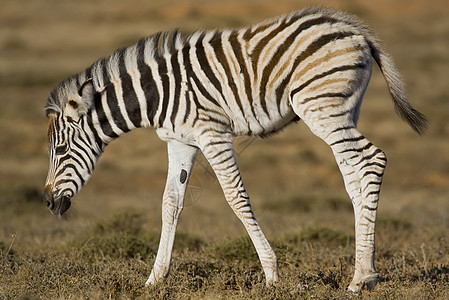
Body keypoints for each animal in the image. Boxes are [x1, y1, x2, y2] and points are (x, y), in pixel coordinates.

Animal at [43, 7, 426, 292]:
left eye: (61, 150)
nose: (47, 202)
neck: (158, 95)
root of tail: (355, 30)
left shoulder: (212, 132)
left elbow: (235, 195)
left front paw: (271, 274)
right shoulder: (180, 140)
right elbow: (170, 203)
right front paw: (155, 279)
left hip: (322, 109)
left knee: (372, 160)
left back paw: (363, 278)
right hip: (343, 110)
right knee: (354, 175)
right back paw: (362, 275)